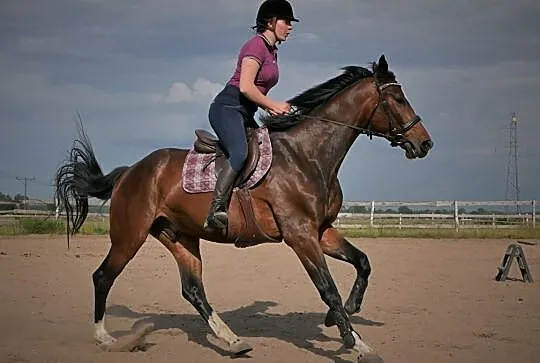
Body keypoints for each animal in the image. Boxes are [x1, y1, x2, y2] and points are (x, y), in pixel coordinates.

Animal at [54, 54, 432, 363]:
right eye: (398, 99)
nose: (425, 143)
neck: (307, 156)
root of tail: (131, 171)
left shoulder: (321, 231)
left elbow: (362, 263)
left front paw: (347, 323)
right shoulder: (300, 235)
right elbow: (328, 289)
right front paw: (356, 343)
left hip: (181, 236)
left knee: (192, 290)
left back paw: (233, 341)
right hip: (130, 235)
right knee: (103, 276)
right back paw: (106, 339)